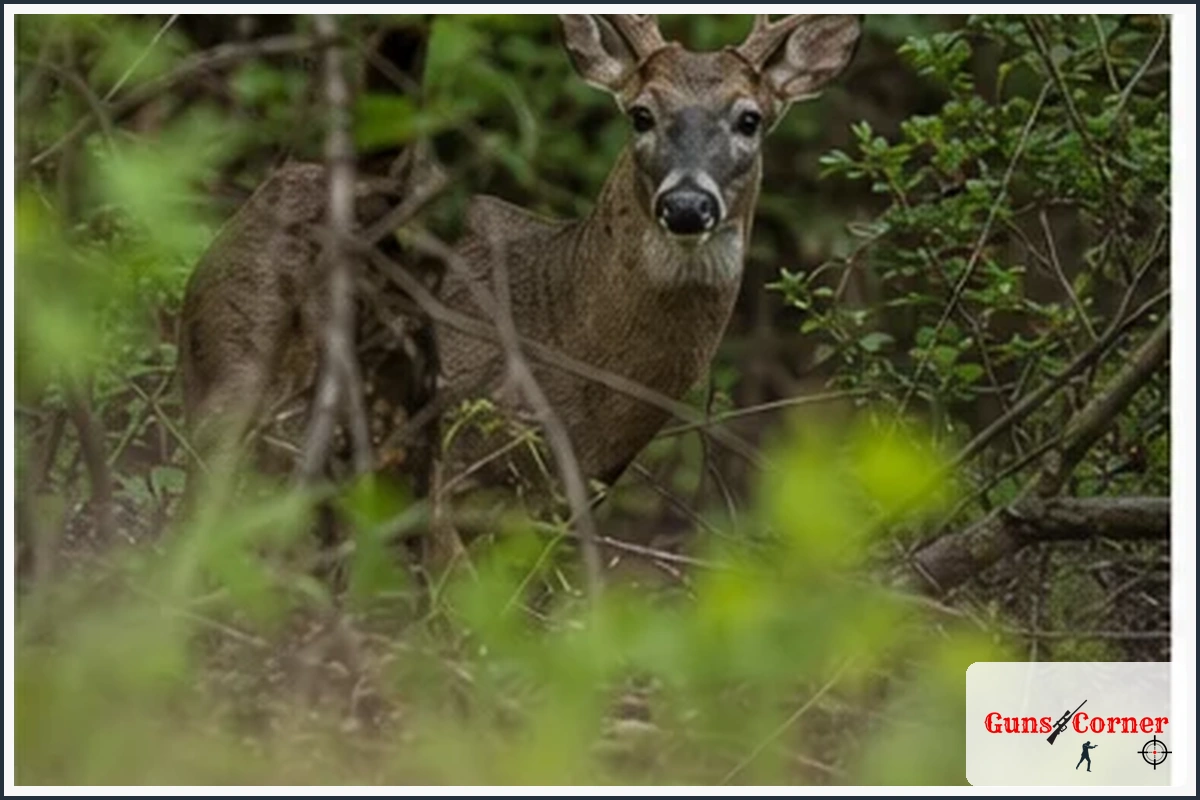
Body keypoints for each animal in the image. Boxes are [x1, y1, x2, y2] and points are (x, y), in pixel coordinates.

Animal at [179, 14, 862, 527]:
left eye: (750, 118)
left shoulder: (563, 501)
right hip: (231, 367)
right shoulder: (445, 460)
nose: (688, 204)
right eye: (641, 113)